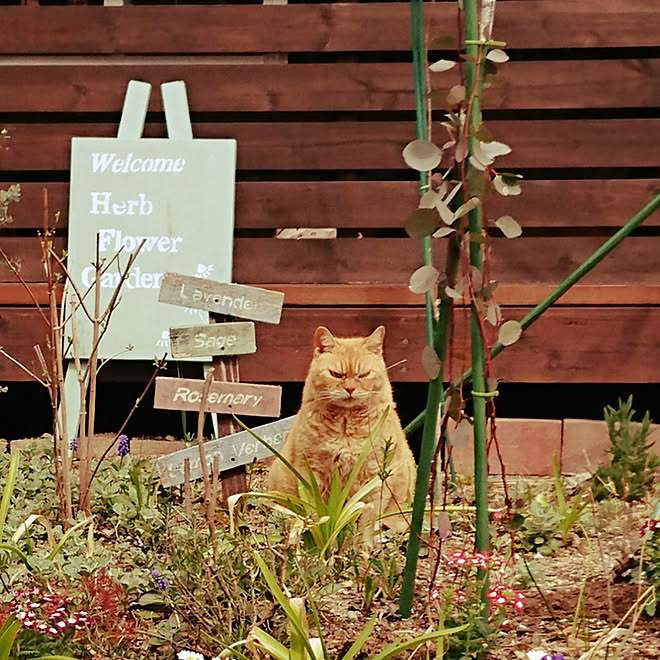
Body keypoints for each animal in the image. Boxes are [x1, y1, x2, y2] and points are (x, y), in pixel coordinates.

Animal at [266, 324, 416, 532]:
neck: (346, 424)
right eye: (336, 374)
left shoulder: (374, 476)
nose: (350, 389)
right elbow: (317, 513)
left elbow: (367, 519)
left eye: (363, 375)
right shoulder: (312, 471)